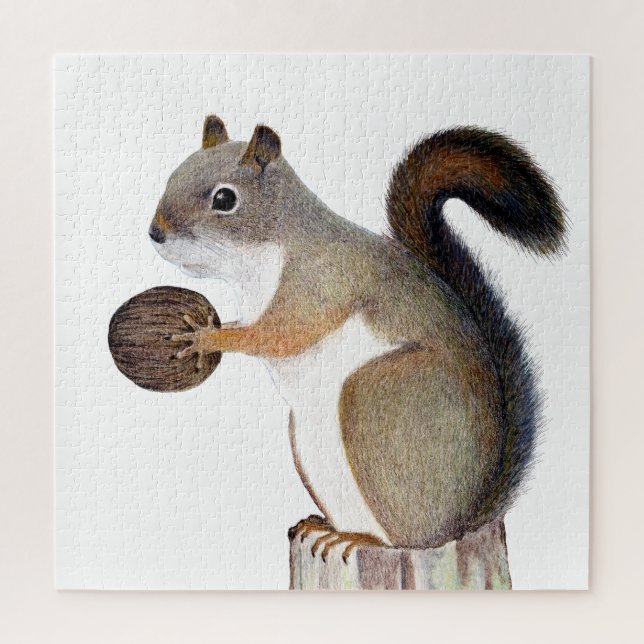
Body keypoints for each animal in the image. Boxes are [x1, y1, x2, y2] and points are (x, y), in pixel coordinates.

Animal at [149, 115, 566, 557]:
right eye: (174, 174)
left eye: (225, 199)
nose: (155, 232)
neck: (269, 249)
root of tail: (464, 521)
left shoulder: (318, 283)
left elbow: (277, 334)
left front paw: (205, 338)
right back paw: (326, 527)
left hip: (375, 398)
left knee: (410, 537)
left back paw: (363, 538)